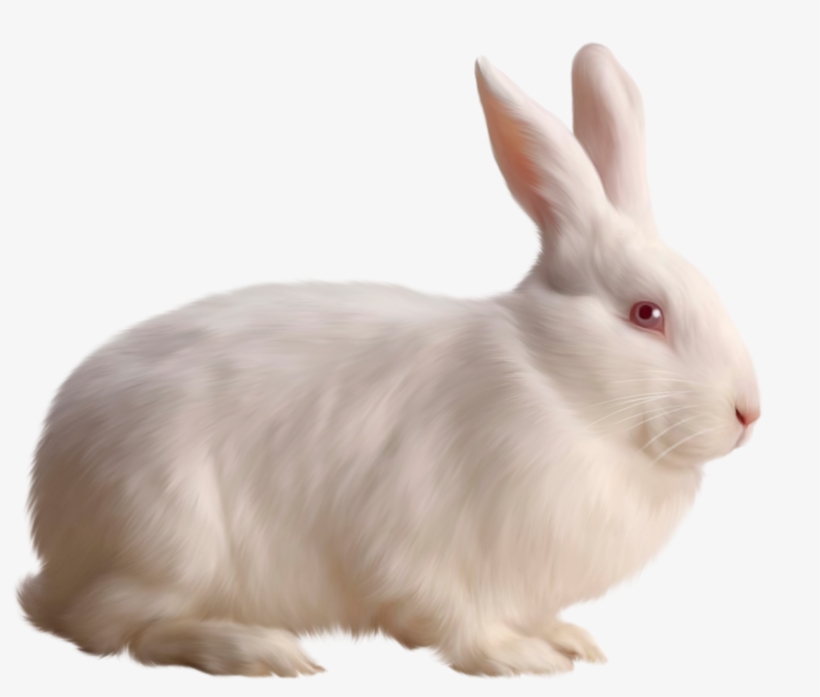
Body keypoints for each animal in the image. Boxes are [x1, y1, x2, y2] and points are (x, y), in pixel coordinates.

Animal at [19, 44, 759, 677]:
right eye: (647, 314)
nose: (748, 413)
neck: (557, 385)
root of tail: (54, 531)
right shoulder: (423, 546)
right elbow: (455, 619)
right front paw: (520, 657)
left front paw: (567, 637)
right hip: (171, 540)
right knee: (116, 629)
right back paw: (258, 648)